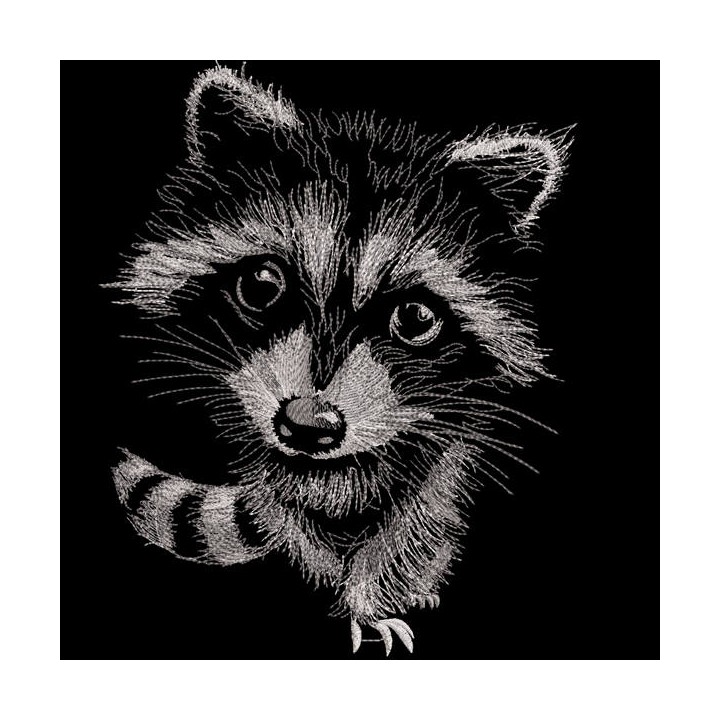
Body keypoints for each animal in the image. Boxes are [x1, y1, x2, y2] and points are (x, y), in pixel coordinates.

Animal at [107, 65, 571, 656]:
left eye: (415, 318)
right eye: (262, 286)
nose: (308, 425)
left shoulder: (442, 441)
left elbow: (413, 517)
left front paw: (374, 594)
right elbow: (292, 514)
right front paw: (349, 592)